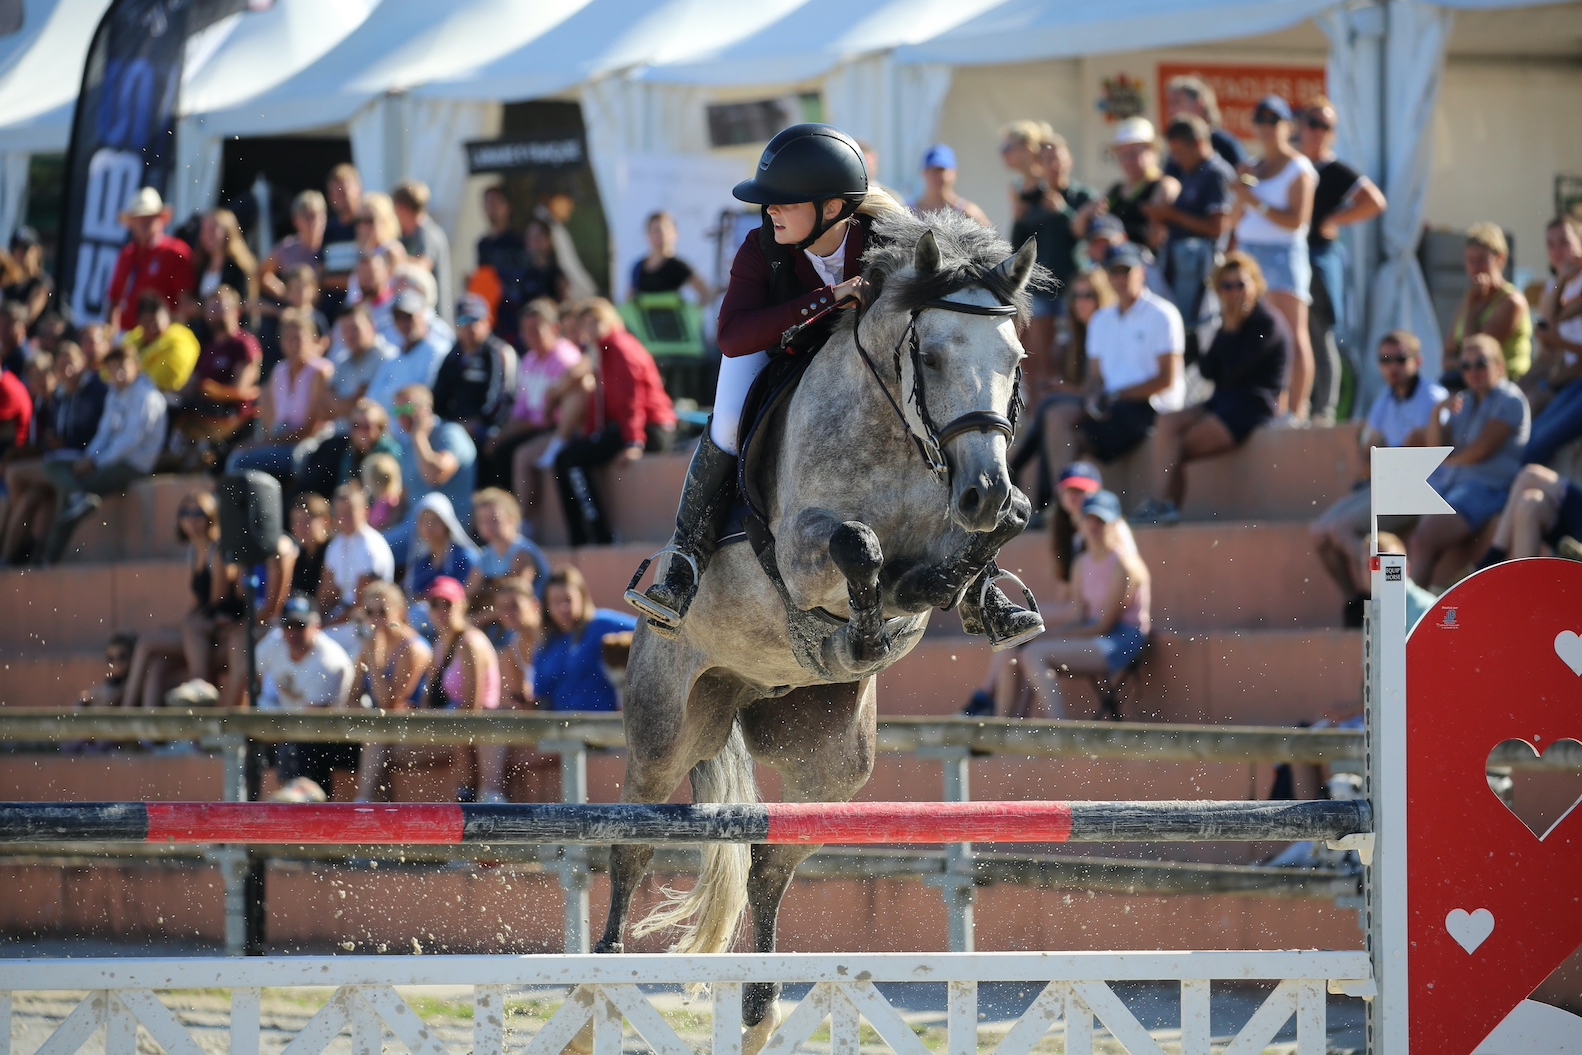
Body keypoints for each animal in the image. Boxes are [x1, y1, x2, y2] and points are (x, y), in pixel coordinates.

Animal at [594, 205, 1037, 1050]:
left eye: (1016, 359)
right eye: (932, 354)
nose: (985, 489)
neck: (895, 435)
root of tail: (745, 691)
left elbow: (961, 557)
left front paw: (967, 581)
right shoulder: (802, 554)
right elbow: (855, 545)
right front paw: (865, 615)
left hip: (830, 762)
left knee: (771, 862)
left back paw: (760, 1008)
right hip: (666, 733)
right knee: (631, 844)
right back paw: (594, 987)